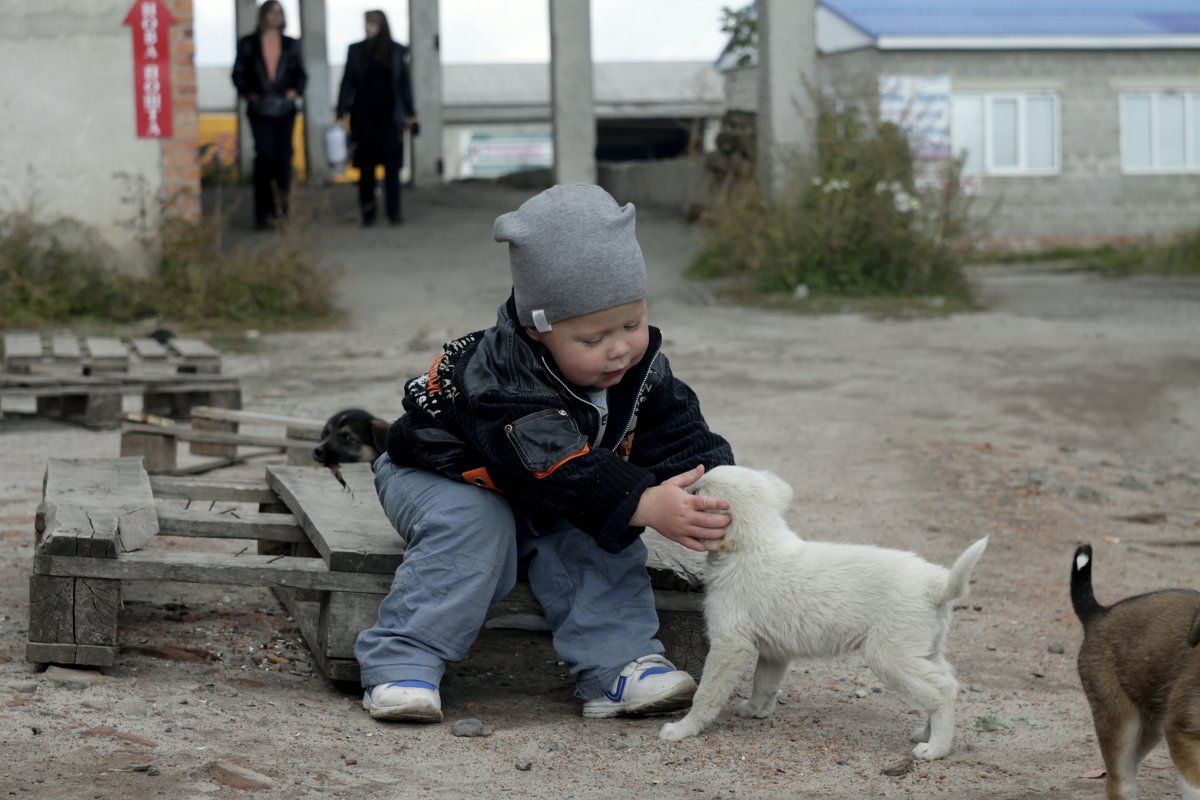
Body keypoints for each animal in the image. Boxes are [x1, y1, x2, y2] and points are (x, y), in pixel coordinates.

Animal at [662, 465, 988, 762]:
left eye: (696, 491)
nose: (679, 488)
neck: (753, 545)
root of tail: (936, 583)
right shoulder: (774, 650)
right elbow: (763, 683)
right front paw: (756, 710)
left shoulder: (730, 644)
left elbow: (705, 693)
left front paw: (682, 729)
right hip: (925, 649)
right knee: (948, 684)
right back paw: (925, 733)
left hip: (890, 655)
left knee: (940, 692)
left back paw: (935, 749)